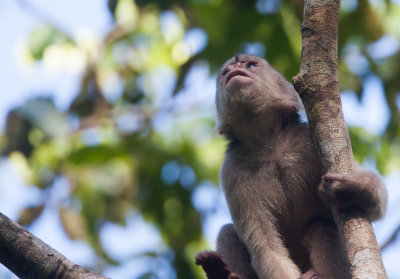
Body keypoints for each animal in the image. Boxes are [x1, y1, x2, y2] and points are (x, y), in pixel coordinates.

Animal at [195, 54, 386, 279]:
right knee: (227, 233)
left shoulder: (307, 139)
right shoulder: (232, 170)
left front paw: (350, 190)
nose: (234, 69)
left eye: (250, 65)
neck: (270, 146)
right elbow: (267, 250)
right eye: (225, 73)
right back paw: (222, 272)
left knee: (321, 227)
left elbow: (377, 202)